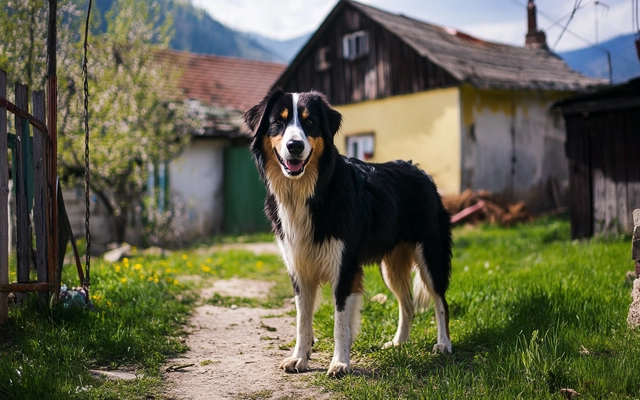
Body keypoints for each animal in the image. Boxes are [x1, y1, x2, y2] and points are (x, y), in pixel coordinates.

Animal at [244, 89, 450, 376]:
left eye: (310, 122)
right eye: (278, 122)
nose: (295, 146)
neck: (308, 192)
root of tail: (419, 170)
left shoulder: (345, 266)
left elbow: (340, 320)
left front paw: (340, 362)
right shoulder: (299, 268)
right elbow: (302, 320)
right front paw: (300, 358)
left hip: (430, 253)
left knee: (440, 300)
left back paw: (444, 344)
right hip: (391, 265)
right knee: (407, 303)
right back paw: (398, 343)